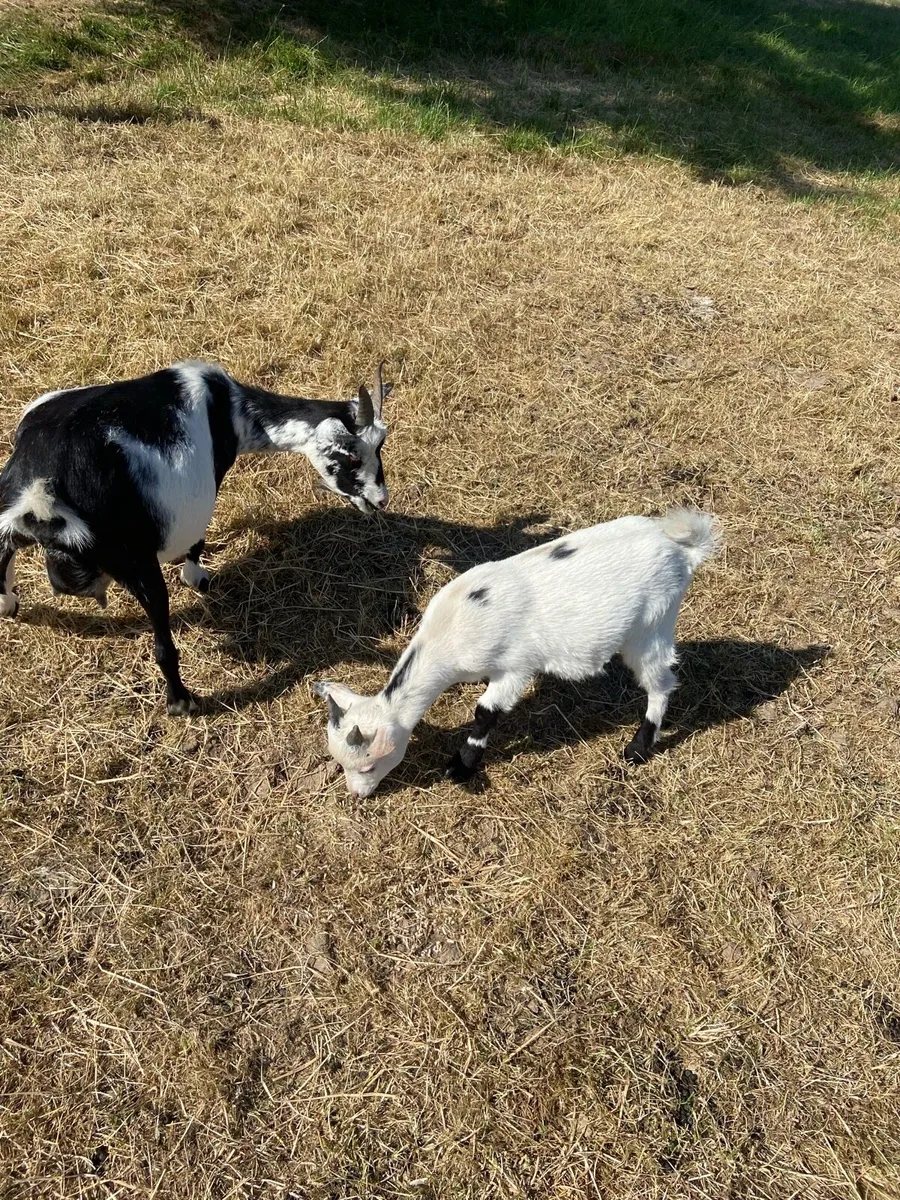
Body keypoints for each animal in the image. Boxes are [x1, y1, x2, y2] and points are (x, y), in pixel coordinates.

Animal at [0, 360, 391, 714]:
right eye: (352, 455)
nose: (379, 500)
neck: (228, 406)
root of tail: (42, 491)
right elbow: (197, 541)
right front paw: (196, 575)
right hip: (136, 561)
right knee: (161, 637)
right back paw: (181, 702)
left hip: (8, 518)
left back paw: (8, 604)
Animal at [314, 509, 721, 796]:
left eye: (368, 766)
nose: (357, 795)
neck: (450, 632)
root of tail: (682, 548)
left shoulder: (515, 667)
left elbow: (485, 712)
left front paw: (462, 768)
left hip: (653, 624)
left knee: (661, 683)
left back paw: (637, 749)